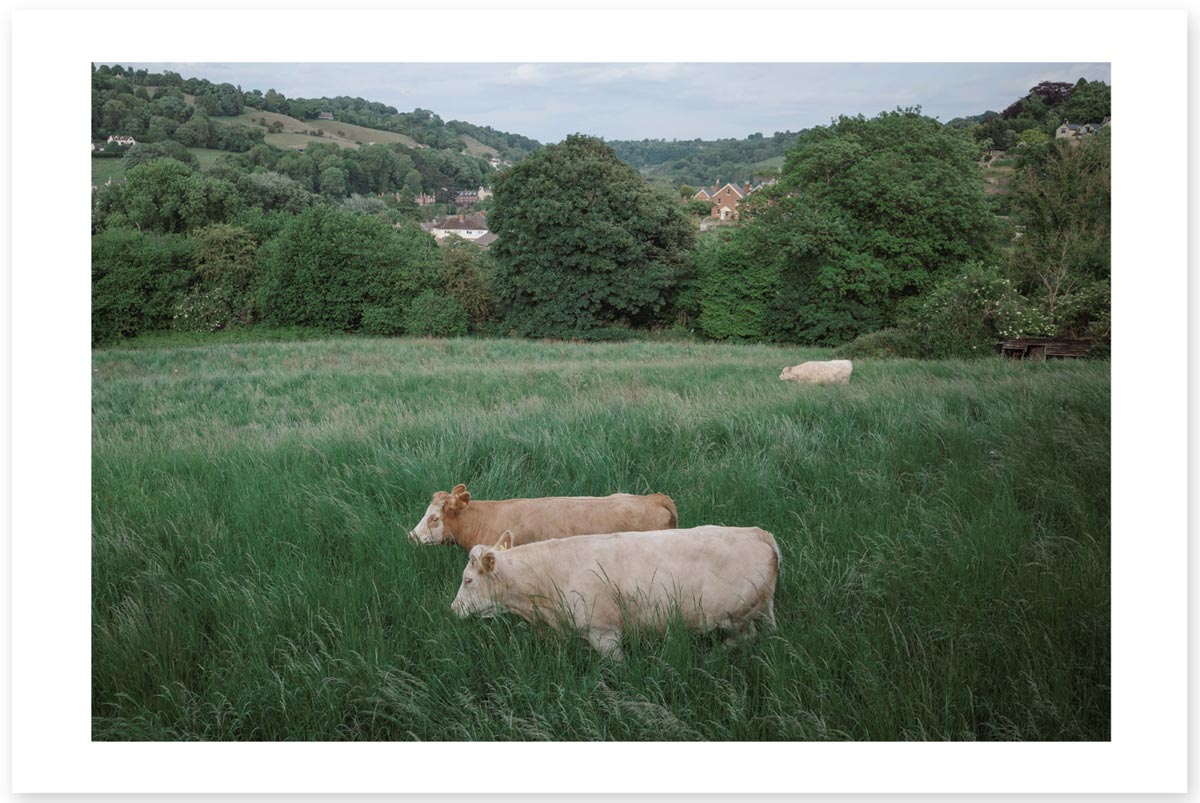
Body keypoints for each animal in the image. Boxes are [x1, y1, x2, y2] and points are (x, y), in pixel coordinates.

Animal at [450, 525, 780, 661]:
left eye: (468, 580)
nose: (453, 609)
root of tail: (757, 532)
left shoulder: (604, 632)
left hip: (736, 615)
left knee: (746, 637)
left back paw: (710, 656)